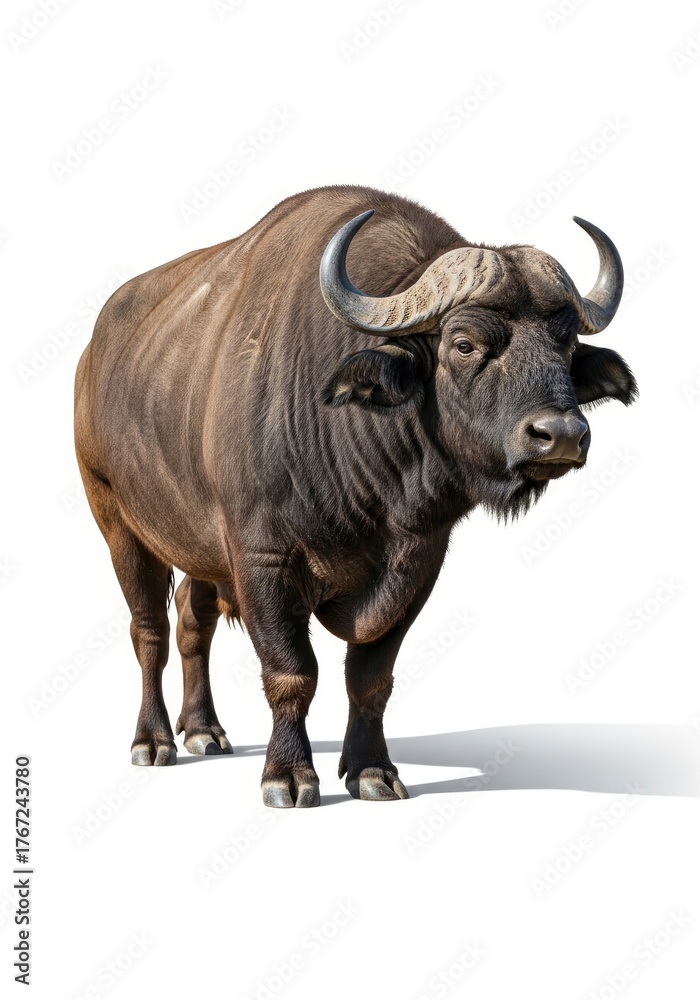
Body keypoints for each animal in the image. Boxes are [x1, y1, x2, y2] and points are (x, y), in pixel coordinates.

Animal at [74, 185, 636, 806]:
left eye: (568, 344)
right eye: (464, 344)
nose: (562, 434)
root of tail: (92, 353)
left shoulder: (418, 563)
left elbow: (369, 677)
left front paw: (371, 770)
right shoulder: (262, 559)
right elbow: (292, 671)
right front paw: (288, 776)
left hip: (197, 545)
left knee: (191, 621)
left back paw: (203, 730)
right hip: (116, 521)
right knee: (148, 628)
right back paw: (153, 741)